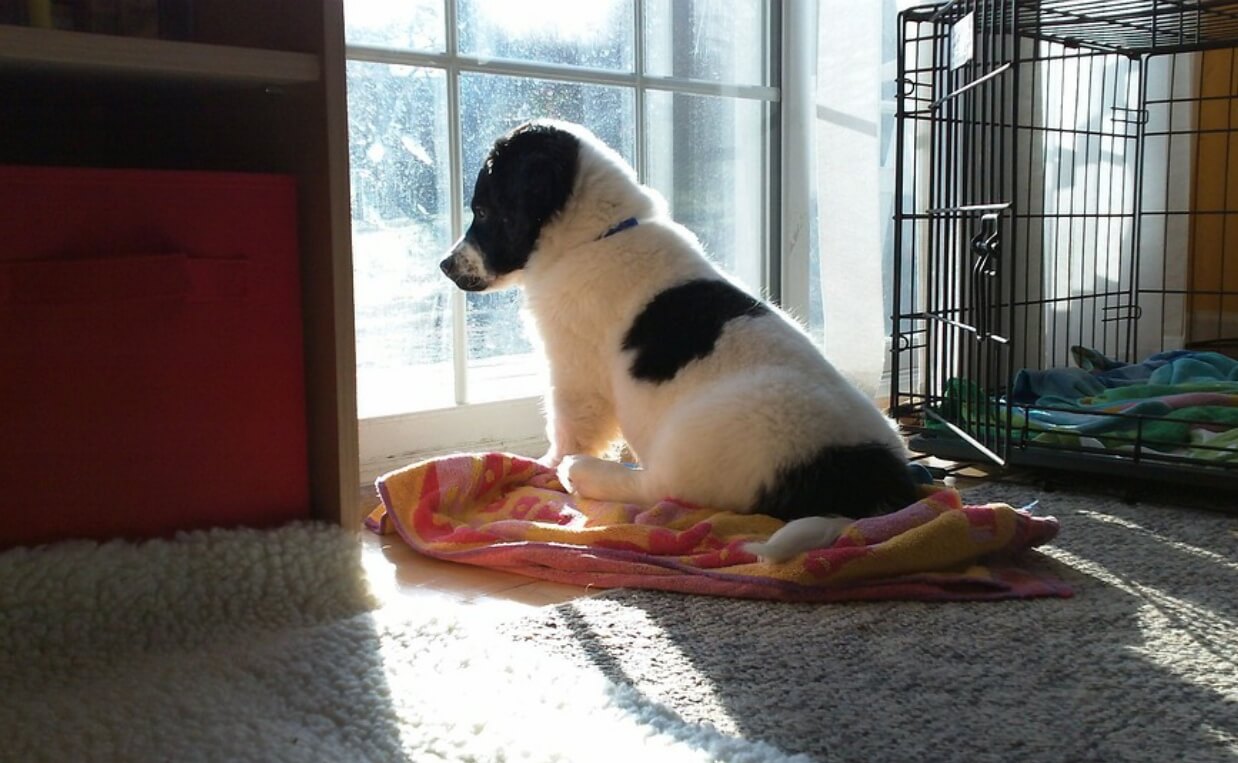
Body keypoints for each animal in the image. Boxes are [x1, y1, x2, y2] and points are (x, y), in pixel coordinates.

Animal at [440, 118, 916, 559]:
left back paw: (581, 473)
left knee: (656, 490)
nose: (444, 266)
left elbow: (567, 423)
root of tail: (872, 482)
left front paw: (546, 465)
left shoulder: (573, 369)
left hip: (691, 442)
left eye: (483, 211)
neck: (597, 235)